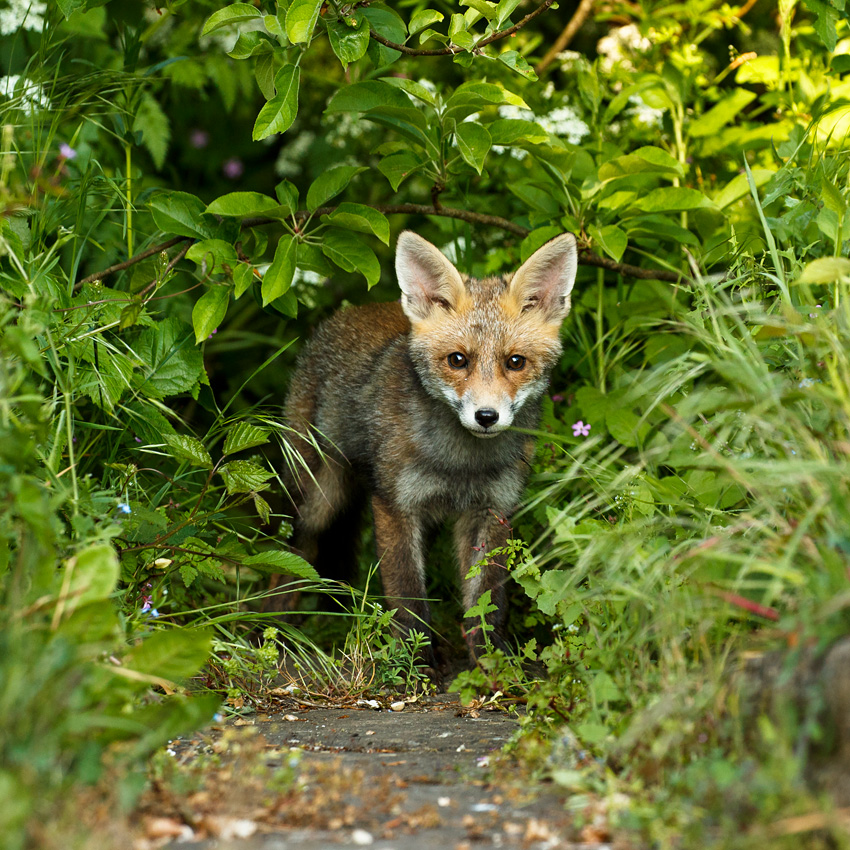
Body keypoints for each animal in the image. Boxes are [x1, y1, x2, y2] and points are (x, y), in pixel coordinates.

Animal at [276, 230, 578, 669]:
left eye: (515, 362)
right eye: (457, 360)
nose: (486, 416)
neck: (460, 464)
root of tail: (343, 315)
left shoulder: (492, 509)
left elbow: (486, 601)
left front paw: (491, 663)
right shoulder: (395, 504)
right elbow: (408, 596)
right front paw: (414, 665)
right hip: (317, 498)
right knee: (293, 551)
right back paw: (272, 626)